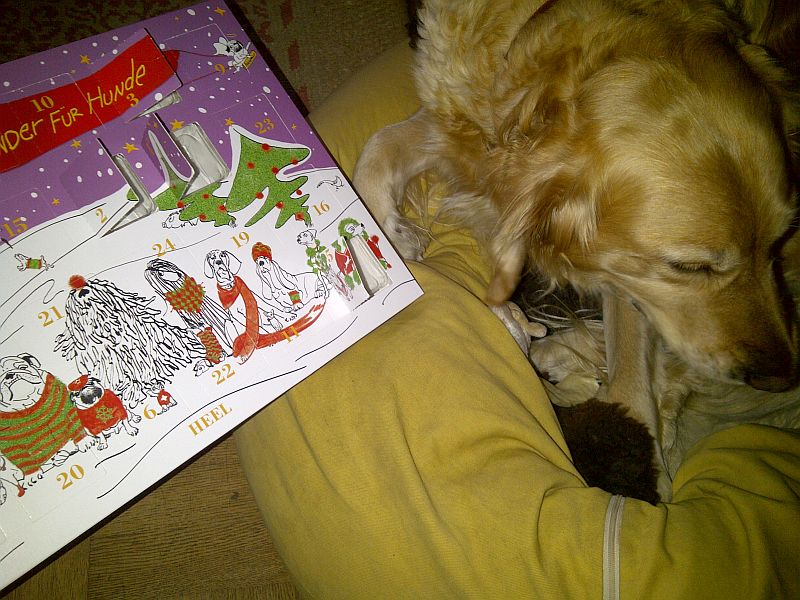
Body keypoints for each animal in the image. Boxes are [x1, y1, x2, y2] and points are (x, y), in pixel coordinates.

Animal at [354, 0, 800, 500]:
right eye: (690, 267)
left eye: (779, 239)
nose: (781, 378)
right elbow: (377, 149)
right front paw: (391, 240)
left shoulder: (624, 276)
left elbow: (630, 385)